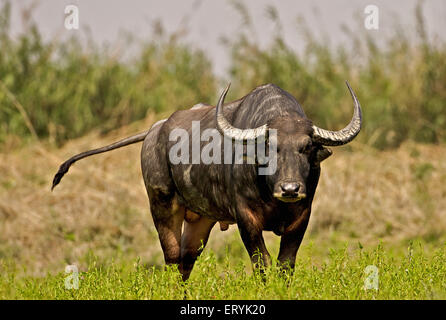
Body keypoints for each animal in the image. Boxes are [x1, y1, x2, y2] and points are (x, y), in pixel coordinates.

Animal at [52, 82, 360, 280]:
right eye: (269, 147)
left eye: (306, 147)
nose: (290, 189)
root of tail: (154, 131)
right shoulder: (246, 218)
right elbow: (261, 263)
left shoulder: (302, 216)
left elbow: (285, 265)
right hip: (162, 206)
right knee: (172, 259)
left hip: (200, 221)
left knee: (186, 261)